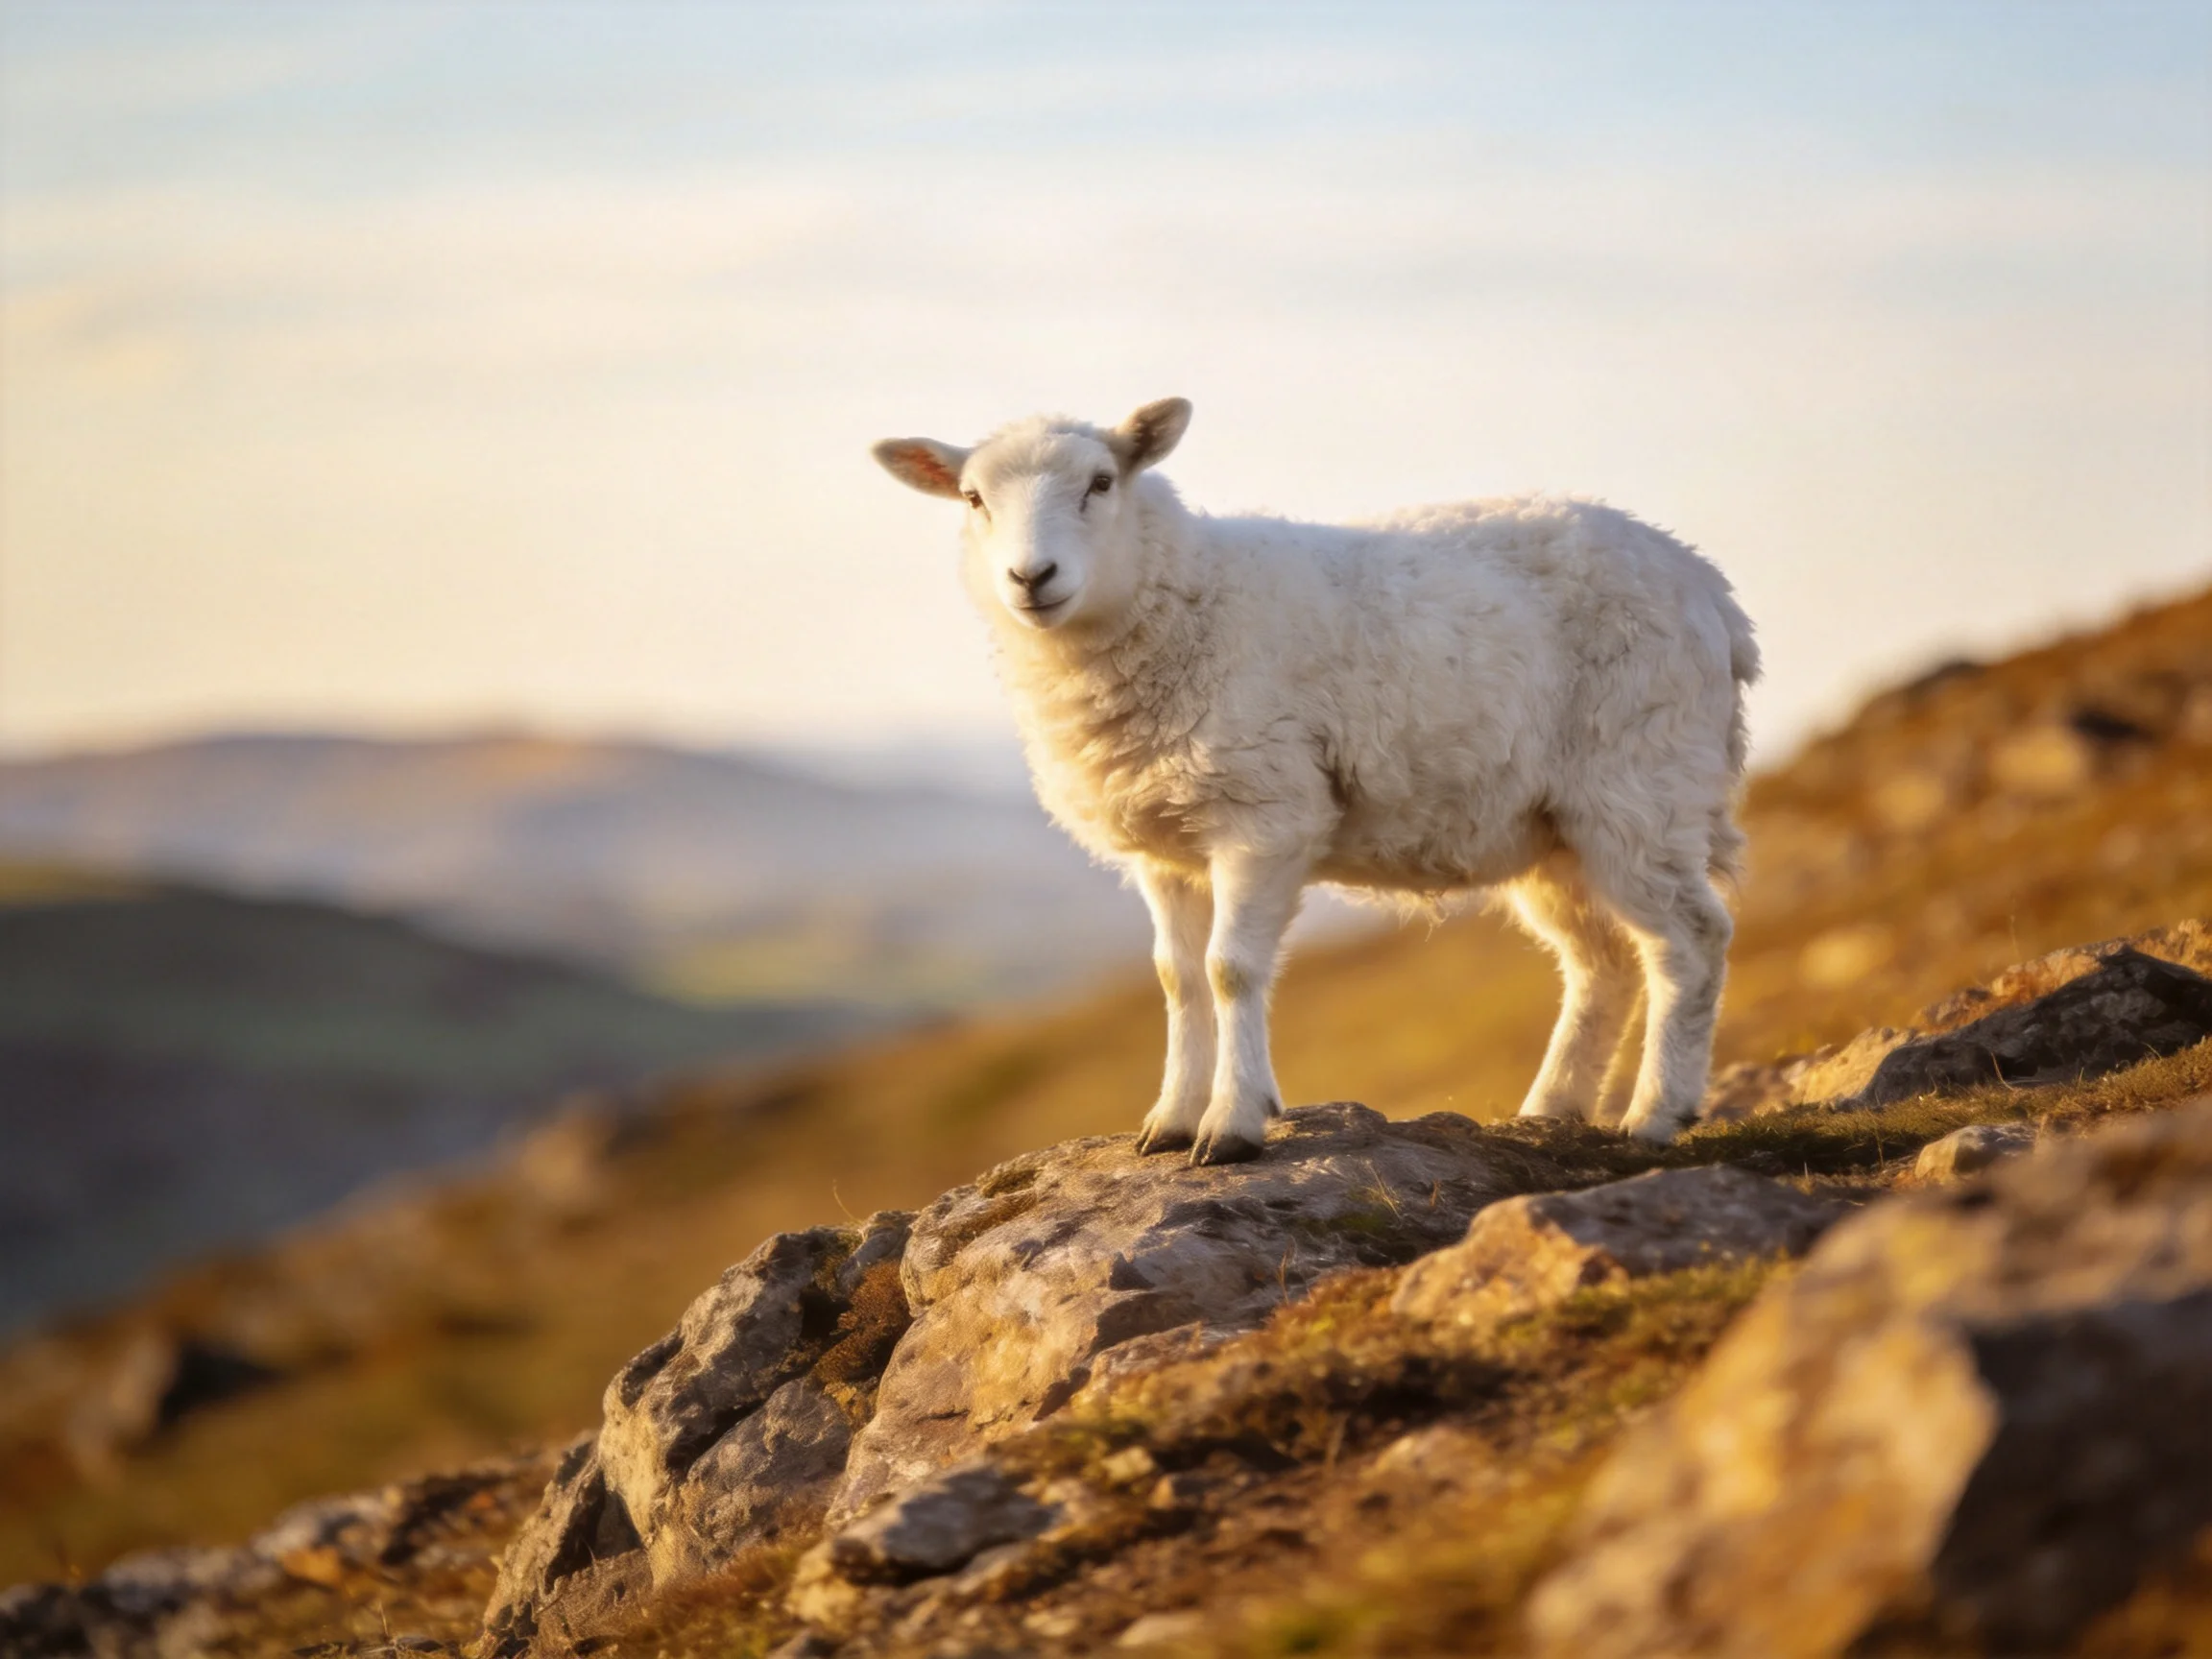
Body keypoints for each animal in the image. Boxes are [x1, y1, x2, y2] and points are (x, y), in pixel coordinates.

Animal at [873, 398, 1759, 1164]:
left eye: (1100, 482)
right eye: (973, 497)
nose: (1032, 577)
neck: (1186, 601)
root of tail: (1711, 588)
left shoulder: (1265, 815)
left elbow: (1230, 970)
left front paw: (1231, 1126)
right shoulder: (1165, 847)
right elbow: (1177, 979)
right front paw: (1169, 1122)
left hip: (1640, 783)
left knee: (1690, 940)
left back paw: (1657, 1113)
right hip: (1553, 828)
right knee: (1600, 961)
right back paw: (1551, 1109)